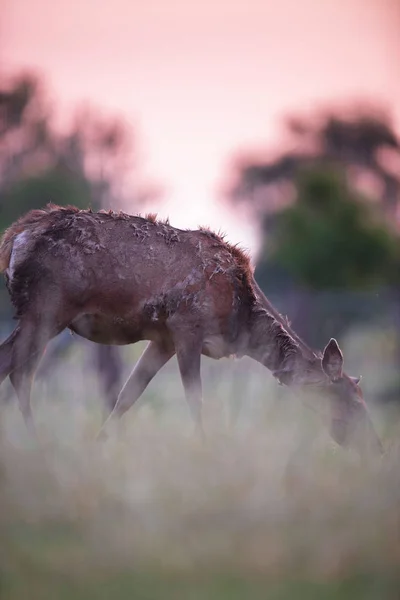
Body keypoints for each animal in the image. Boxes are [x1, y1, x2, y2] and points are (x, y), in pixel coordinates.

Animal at [0, 204, 382, 452]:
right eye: (352, 400)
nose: (376, 446)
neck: (241, 319)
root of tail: (14, 236)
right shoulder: (188, 327)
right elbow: (195, 399)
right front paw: (203, 451)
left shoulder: (163, 339)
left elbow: (126, 395)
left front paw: (99, 445)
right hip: (46, 310)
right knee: (16, 369)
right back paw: (37, 445)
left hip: (42, 316)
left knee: (18, 369)